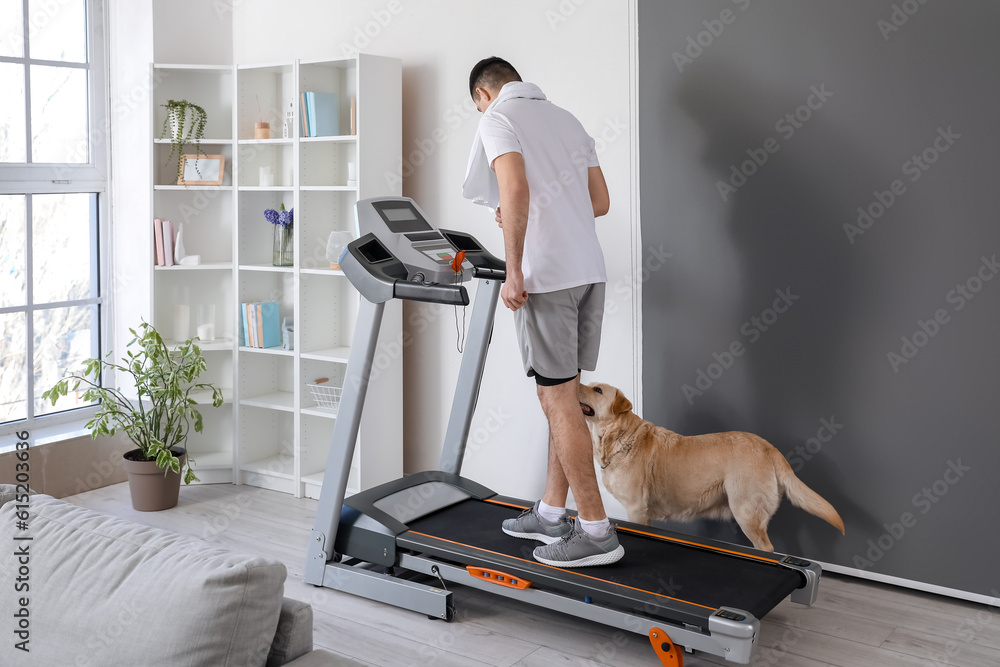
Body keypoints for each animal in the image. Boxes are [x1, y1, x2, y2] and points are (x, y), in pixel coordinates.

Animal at [580, 380, 844, 552]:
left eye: (597, 389)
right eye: (592, 385)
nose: (575, 381)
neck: (619, 437)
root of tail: (769, 448)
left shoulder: (637, 510)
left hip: (746, 512)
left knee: (766, 549)